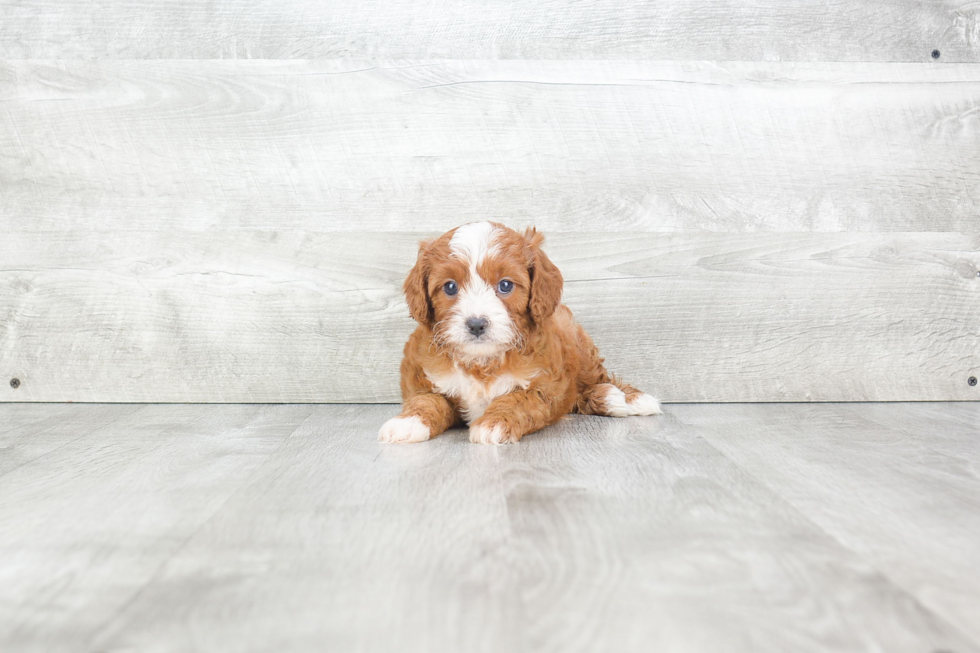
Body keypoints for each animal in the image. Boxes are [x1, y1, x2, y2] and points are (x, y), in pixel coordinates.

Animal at [378, 222, 664, 446]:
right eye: (450, 287)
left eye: (505, 285)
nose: (476, 324)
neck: (482, 361)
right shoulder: (425, 381)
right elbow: (426, 401)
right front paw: (407, 422)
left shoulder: (545, 385)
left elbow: (517, 399)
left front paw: (494, 423)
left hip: (582, 351)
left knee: (598, 379)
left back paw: (624, 398)